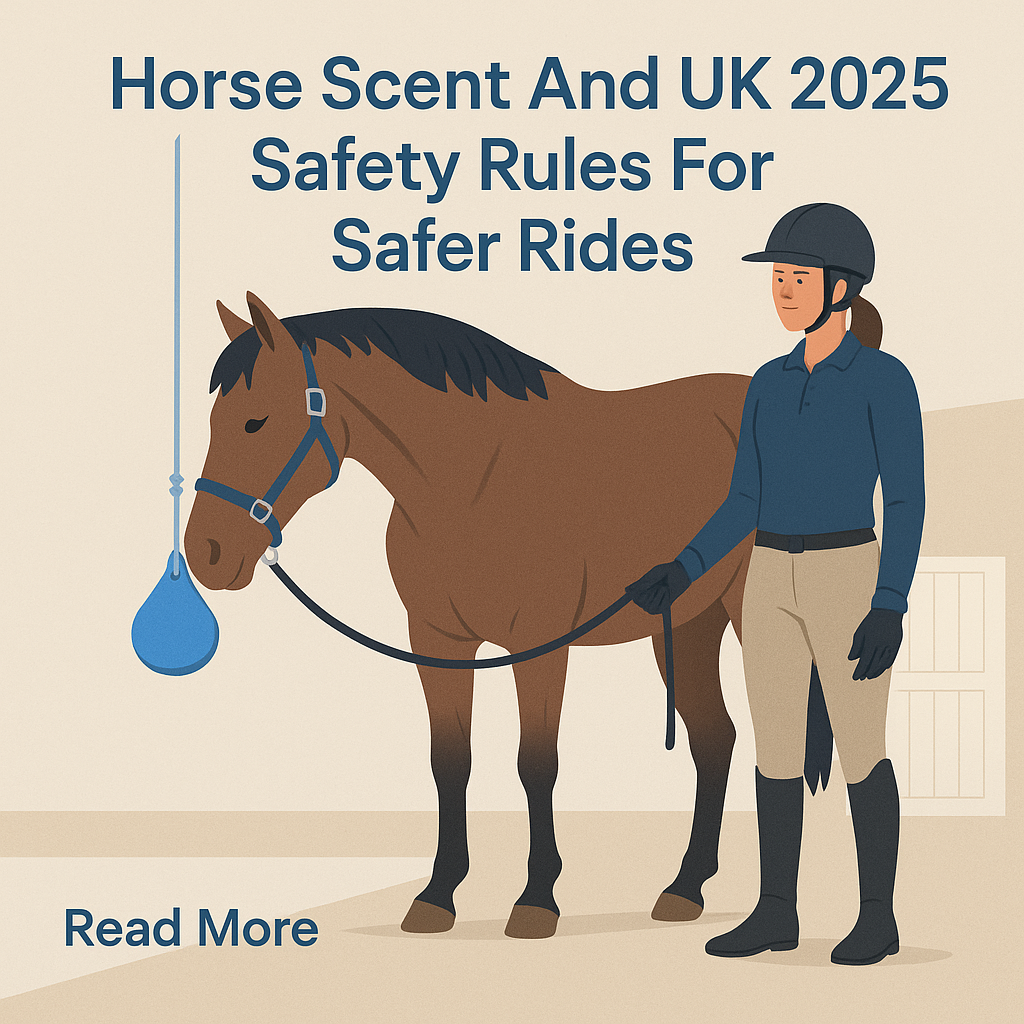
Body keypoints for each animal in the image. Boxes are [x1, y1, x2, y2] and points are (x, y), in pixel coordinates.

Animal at [185, 292, 753, 940]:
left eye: (256, 420)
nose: (206, 554)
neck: (473, 479)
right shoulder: (438, 642)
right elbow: (450, 761)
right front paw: (437, 896)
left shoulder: (540, 645)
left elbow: (536, 763)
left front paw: (536, 900)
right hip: (687, 625)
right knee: (715, 738)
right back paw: (685, 888)